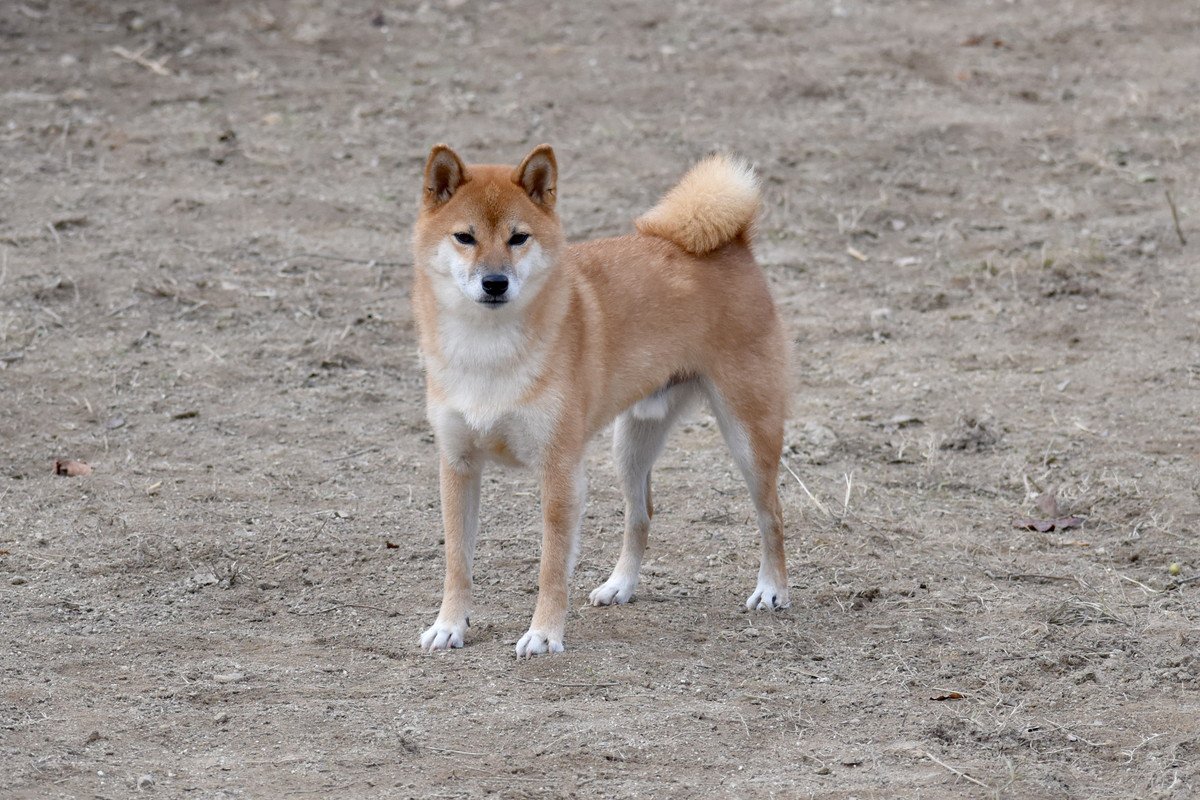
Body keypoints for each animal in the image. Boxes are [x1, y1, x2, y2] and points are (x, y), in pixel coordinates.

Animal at [408, 143, 792, 657]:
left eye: (519, 238)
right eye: (464, 238)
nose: (494, 283)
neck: (488, 350)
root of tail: (736, 243)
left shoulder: (559, 470)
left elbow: (552, 566)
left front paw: (544, 634)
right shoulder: (458, 464)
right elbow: (457, 561)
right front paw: (450, 625)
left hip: (749, 435)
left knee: (772, 515)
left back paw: (772, 589)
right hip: (630, 445)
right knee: (641, 515)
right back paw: (620, 586)